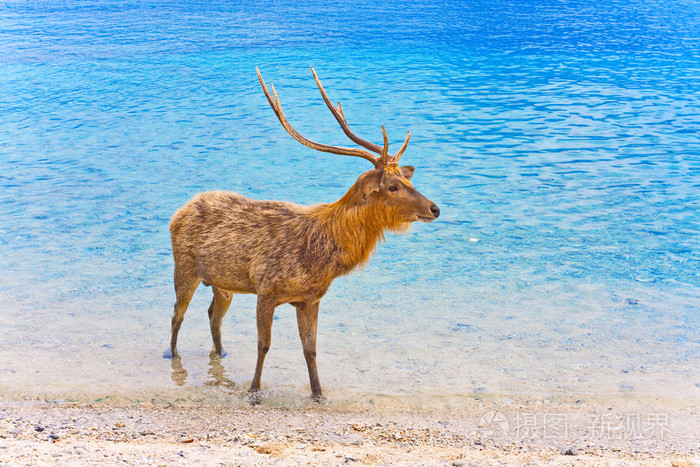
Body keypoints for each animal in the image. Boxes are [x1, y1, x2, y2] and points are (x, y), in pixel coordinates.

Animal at [168, 67, 440, 400]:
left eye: (408, 179)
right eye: (392, 186)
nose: (434, 209)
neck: (319, 258)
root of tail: (179, 211)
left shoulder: (310, 299)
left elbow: (310, 349)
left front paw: (318, 393)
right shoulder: (266, 288)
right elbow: (264, 344)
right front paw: (254, 391)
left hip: (222, 283)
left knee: (212, 315)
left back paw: (220, 354)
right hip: (185, 267)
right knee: (177, 315)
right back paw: (174, 356)